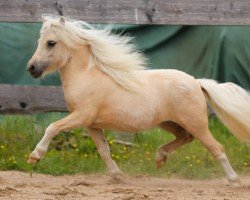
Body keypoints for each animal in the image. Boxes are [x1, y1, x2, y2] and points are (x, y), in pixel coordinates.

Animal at [26, 16, 249, 185]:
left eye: (51, 42)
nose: (31, 68)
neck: (87, 77)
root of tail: (196, 82)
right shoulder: (92, 125)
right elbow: (104, 150)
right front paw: (118, 176)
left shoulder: (81, 116)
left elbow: (52, 127)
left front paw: (34, 156)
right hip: (169, 122)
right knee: (185, 138)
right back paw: (160, 158)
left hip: (196, 123)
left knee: (216, 148)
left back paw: (234, 180)